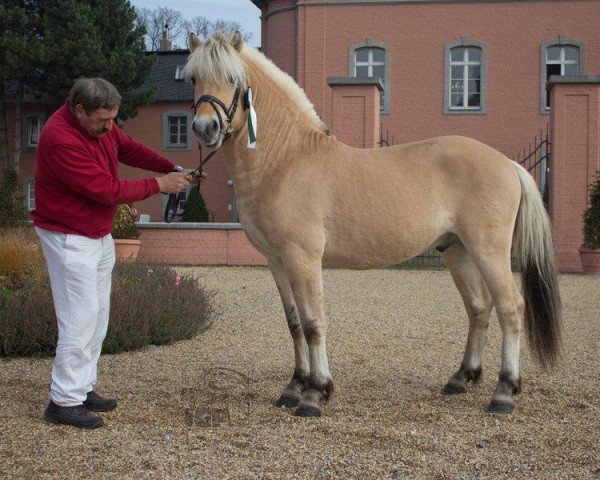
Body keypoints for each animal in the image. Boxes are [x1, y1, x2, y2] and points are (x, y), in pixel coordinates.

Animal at [184, 31, 564, 416]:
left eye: (233, 79)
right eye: (193, 78)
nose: (205, 128)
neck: (286, 160)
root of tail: (508, 164)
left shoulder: (303, 259)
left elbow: (313, 324)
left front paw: (315, 394)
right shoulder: (277, 263)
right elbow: (294, 325)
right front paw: (293, 387)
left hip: (489, 251)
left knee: (510, 309)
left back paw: (504, 392)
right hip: (457, 251)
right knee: (479, 307)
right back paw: (461, 378)